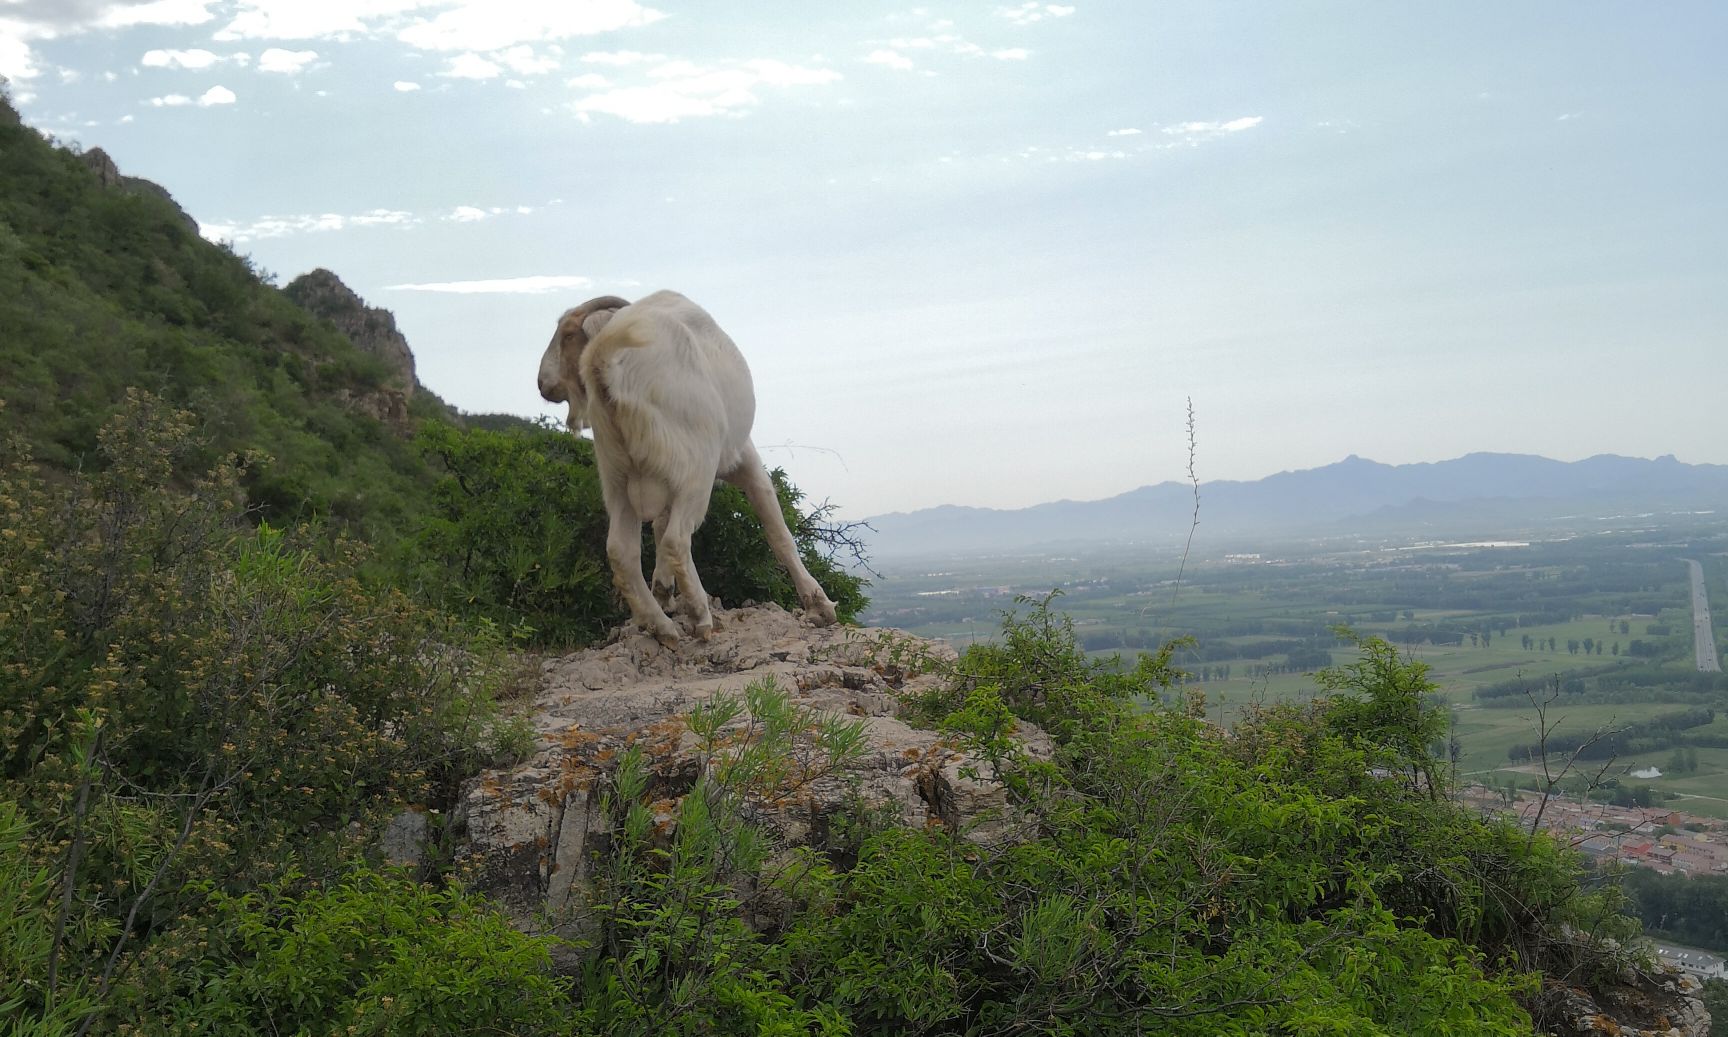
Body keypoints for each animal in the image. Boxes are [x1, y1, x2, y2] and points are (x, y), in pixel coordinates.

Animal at [535, 286, 839, 642]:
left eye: (568, 334)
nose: (544, 385)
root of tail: (605, 358)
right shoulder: (741, 456)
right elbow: (777, 531)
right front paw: (819, 605)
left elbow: (658, 524)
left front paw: (664, 591)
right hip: (696, 466)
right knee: (677, 539)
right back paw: (699, 614)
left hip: (616, 472)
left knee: (623, 550)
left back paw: (661, 625)